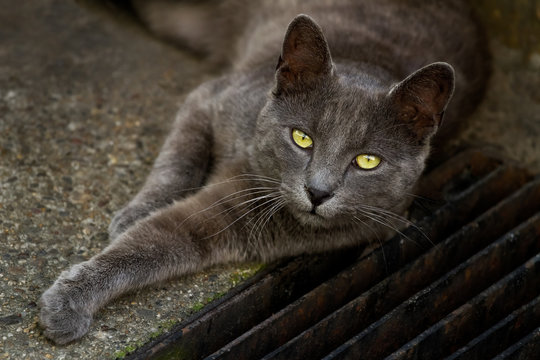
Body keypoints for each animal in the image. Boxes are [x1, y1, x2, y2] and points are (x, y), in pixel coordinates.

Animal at [39, 0, 490, 344]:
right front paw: (136, 212)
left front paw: (69, 302)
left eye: (367, 161)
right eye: (302, 137)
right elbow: (177, 162)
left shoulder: (232, 220)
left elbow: (153, 244)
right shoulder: (209, 99)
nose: (318, 192)